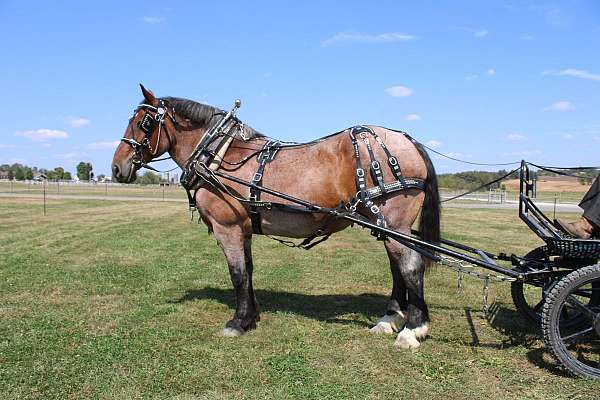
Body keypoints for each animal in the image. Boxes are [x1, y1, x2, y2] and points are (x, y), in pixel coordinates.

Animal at [112, 85, 440, 350]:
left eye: (143, 123)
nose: (117, 167)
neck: (219, 157)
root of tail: (407, 140)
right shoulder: (243, 229)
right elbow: (248, 270)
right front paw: (251, 317)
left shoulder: (227, 228)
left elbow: (237, 274)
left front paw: (237, 322)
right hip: (385, 225)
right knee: (397, 266)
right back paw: (388, 319)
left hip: (394, 223)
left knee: (410, 266)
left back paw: (412, 329)